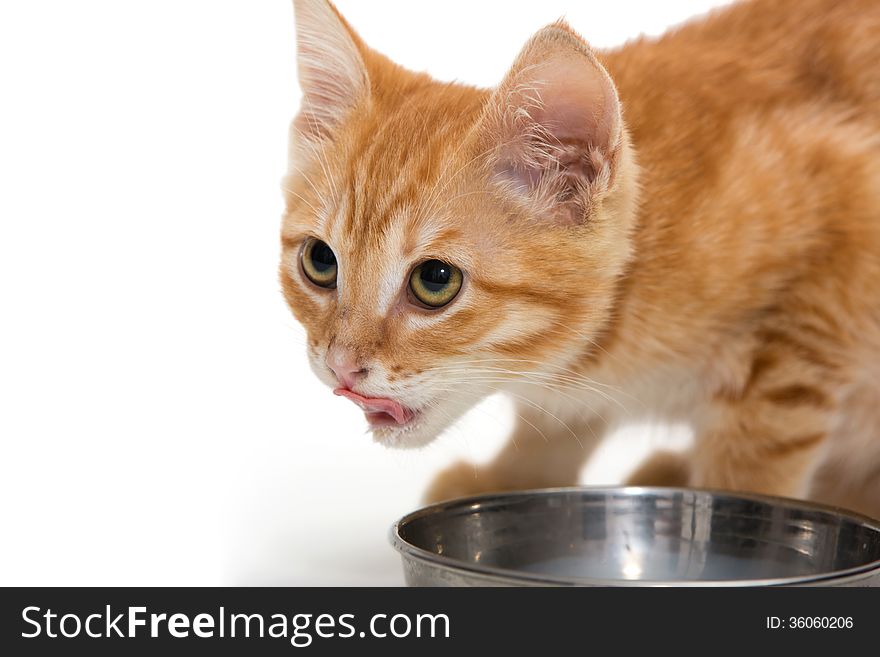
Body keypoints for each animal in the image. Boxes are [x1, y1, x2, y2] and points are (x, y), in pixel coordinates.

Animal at [280, 0, 880, 516]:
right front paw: (517, 477)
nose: (340, 366)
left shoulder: (811, 318)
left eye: (435, 280)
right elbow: (555, 420)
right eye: (320, 262)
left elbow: (754, 463)